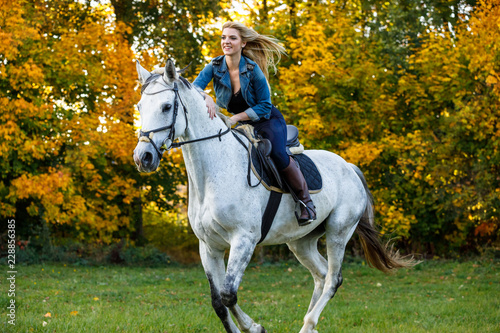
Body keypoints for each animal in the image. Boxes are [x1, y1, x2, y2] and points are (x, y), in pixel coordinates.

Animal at [132, 59, 414, 332]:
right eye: (140, 107)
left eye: (167, 106)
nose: (143, 157)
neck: (213, 173)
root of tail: (349, 167)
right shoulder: (209, 245)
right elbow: (218, 302)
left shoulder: (244, 240)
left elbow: (228, 294)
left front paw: (254, 327)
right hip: (301, 241)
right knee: (321, 274)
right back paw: (309, 325)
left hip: (338, 232)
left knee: (333, 279)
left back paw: (308, 323)